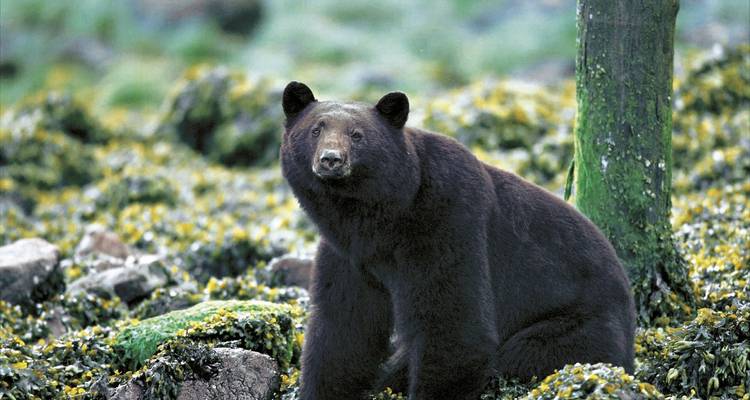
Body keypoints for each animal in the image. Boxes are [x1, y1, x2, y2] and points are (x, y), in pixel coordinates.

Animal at [280, 81, 636, 400]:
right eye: (315, 130)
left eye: (357, 135)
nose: (331, 159)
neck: (379, 216)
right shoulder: (348, 252)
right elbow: (344, 327)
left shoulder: (446, 222)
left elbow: (454, 324)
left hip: (579, 324)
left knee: (525, 352)